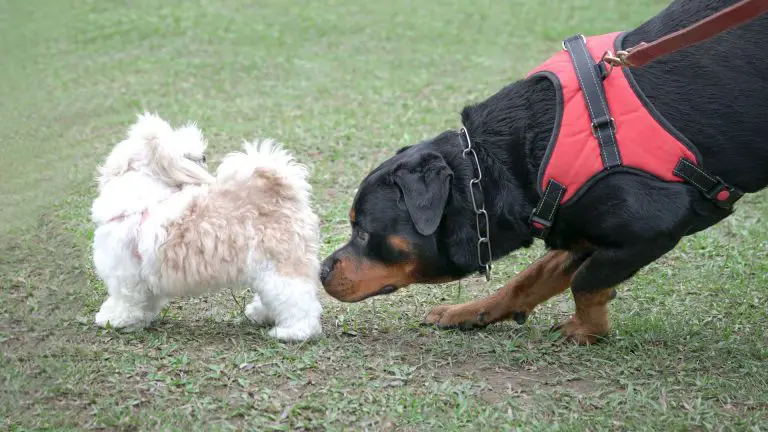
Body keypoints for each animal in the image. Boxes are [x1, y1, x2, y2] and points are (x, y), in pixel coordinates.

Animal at [91, 112, 324, 340]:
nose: (203, 156)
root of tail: (283, 191)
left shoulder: (124, 275)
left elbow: (124, 301)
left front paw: (114, 319)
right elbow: (148, 300)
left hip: (278, 266)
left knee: (297, 300)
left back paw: (293, 331)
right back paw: (260, 314)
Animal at [320, 0, 768, 344]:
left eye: (363, 231)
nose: (322, 269)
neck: (503, 166)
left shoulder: (654, 225)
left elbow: (584, 281)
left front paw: (587, 330)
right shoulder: (570, 219)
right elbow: (532, 276)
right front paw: (469, 311)